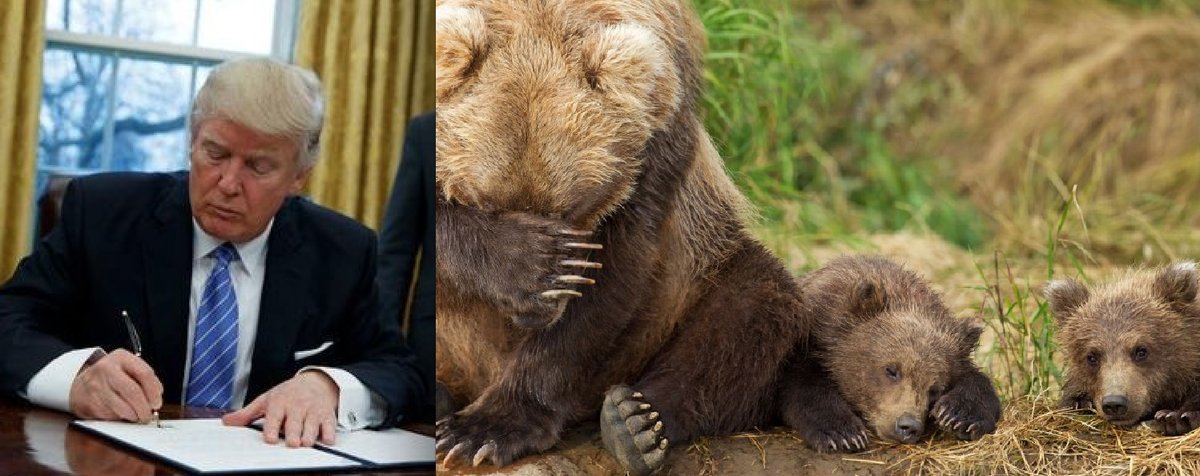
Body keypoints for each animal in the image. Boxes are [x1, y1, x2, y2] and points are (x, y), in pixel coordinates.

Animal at [434, 0, 809, 474]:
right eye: (485, 201)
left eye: (571, 208)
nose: (535, 314)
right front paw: (530, 263)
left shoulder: (657, 134)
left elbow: (618, 271)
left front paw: (487, 429)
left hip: (693, 281)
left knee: (752, 305)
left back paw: (634, 424)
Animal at [778, 255, 1002, 451]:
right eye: (891, 370)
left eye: (935, 389)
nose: (908, 426)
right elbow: (803, 384)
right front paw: (842, 434)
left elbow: (977, 382)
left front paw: (959, 416)